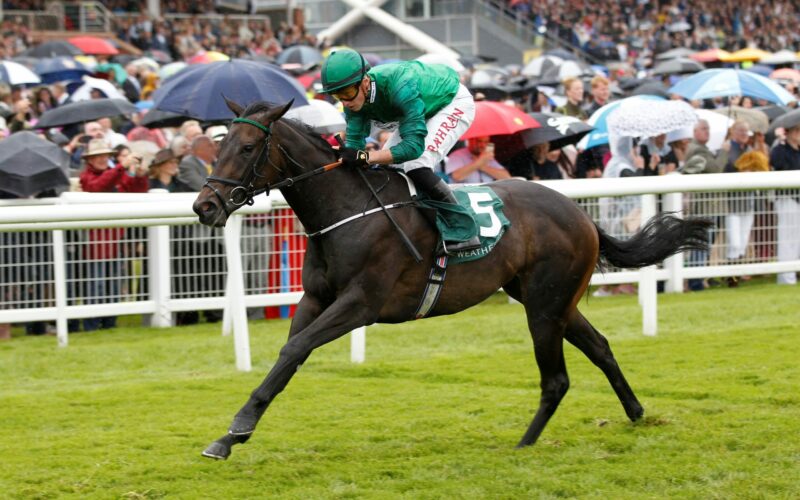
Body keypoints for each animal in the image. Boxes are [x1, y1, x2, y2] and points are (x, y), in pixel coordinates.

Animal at [194, 98, 712, 460]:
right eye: (218, 147)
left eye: (246, 148)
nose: (204, 206)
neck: (346, 209)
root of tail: (580, 214)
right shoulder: (315, 299)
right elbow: (289, 358)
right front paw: (230, 435)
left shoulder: (360, 303)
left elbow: (295, 349)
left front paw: (236, 428)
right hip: (549, 298)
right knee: (600, 347)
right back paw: (637, 413)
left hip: (545, 306)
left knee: (556, 379)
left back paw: (524, 444)